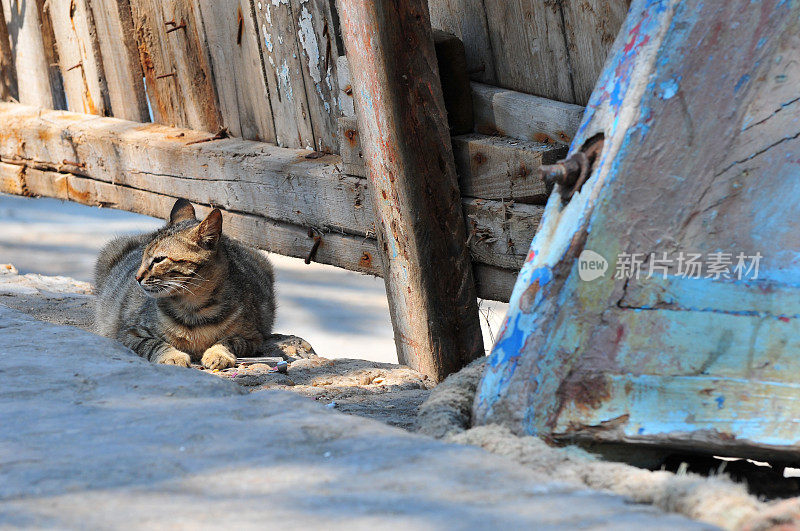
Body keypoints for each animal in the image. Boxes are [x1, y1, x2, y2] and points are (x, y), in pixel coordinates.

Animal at [93, 197, 276, 368]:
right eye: (142, 257)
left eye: (159, 259)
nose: (136, 277)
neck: (193, 309)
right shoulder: (129, 333)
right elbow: (154, 343)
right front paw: (172, 356)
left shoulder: (252, 336)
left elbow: (229, 341)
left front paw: (218, 354)